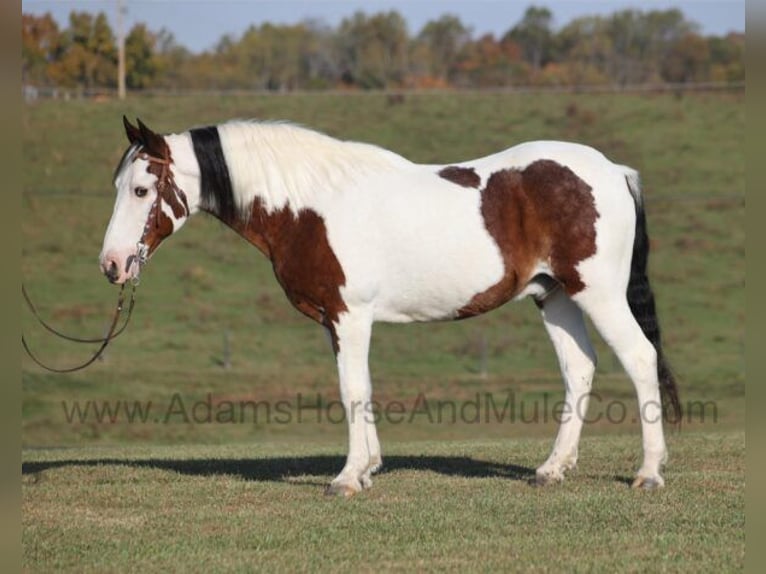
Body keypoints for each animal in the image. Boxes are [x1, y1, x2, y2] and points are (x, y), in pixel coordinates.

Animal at [99, 116, 680, 496]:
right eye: (119, 185)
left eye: (142, 189)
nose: (112, 264)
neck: (309, 205)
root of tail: (611, 169)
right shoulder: (337, 321)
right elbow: (360, 387)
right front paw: (368, 467)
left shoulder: (349, 315)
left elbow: (352, 388)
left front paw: (346, 478)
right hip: (554, 295)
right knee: (579, 368)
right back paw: (552, 469)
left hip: (598, 292)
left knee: (640, 359)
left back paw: (649, 472)